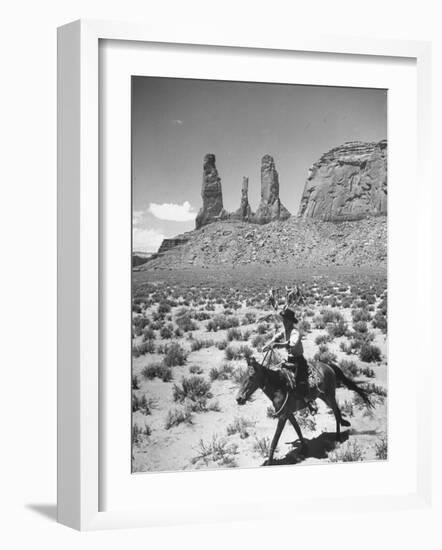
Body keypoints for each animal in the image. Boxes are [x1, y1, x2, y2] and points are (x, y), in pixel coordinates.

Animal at [237, 356, 372, 468]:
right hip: (323, 396)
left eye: (251, 377)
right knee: (336, 411)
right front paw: (304, 448)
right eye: (242, 376)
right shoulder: (288, 413)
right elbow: (297, 428)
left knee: (336, 411)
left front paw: (269, 462)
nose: (239, 399)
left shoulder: (282, 416)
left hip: (329, 395)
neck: (279, 387)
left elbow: (275, 440)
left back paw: (338, 437)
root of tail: (327, 365)